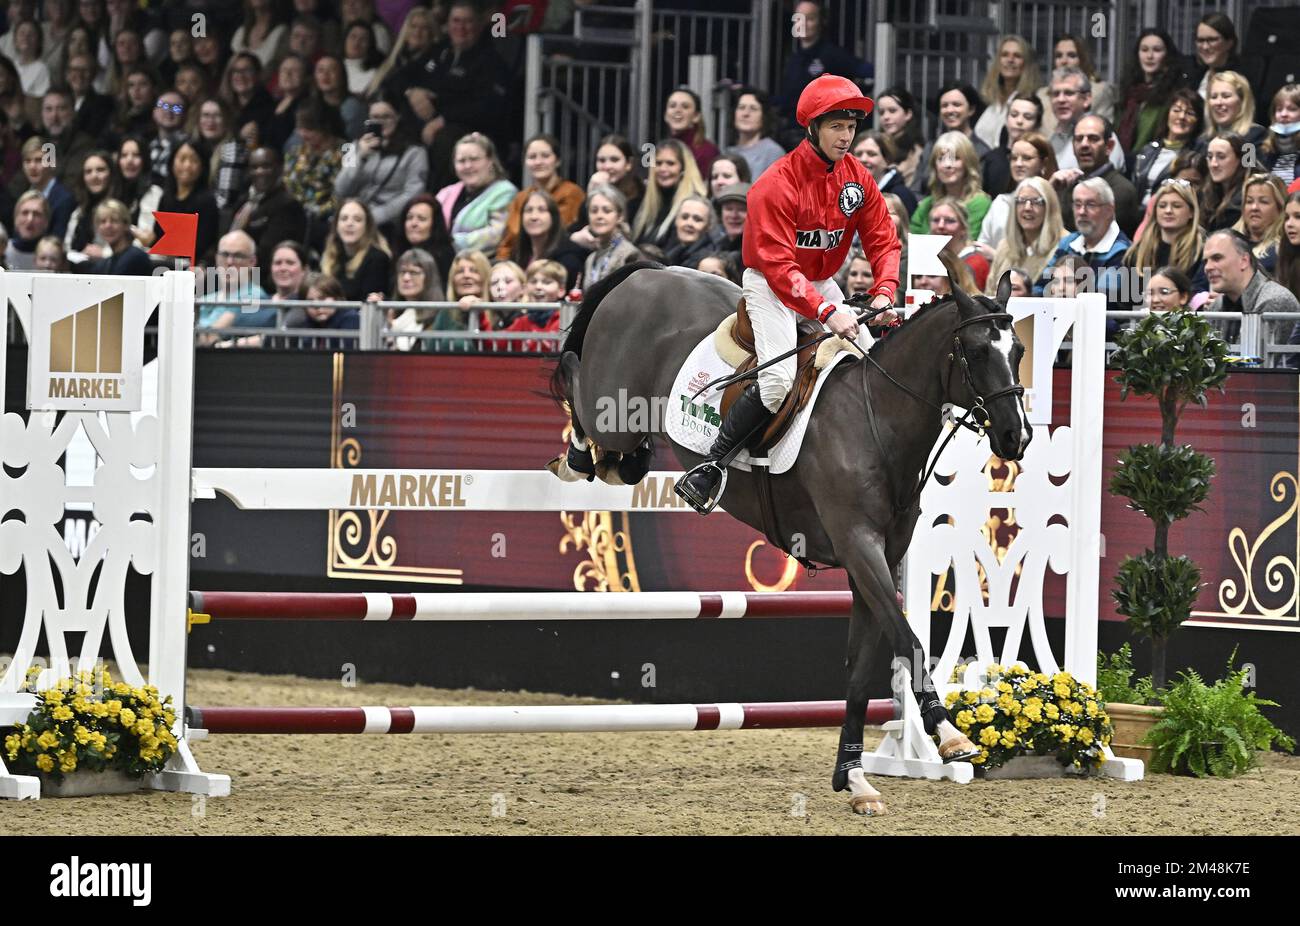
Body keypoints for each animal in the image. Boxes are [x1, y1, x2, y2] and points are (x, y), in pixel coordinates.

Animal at [551, 260, 1034, 811]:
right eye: (977, 351)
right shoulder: (859, 547)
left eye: (1017, 352)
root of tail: (651, 272)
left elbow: (862, 667)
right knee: (575, 377)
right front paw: (950, 735)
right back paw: (577, 454)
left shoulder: (876, 561)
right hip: (612, 411)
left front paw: (854, 778)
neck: (877, 418)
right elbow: (906, 640)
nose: (1016, 436)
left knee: (618, 448)